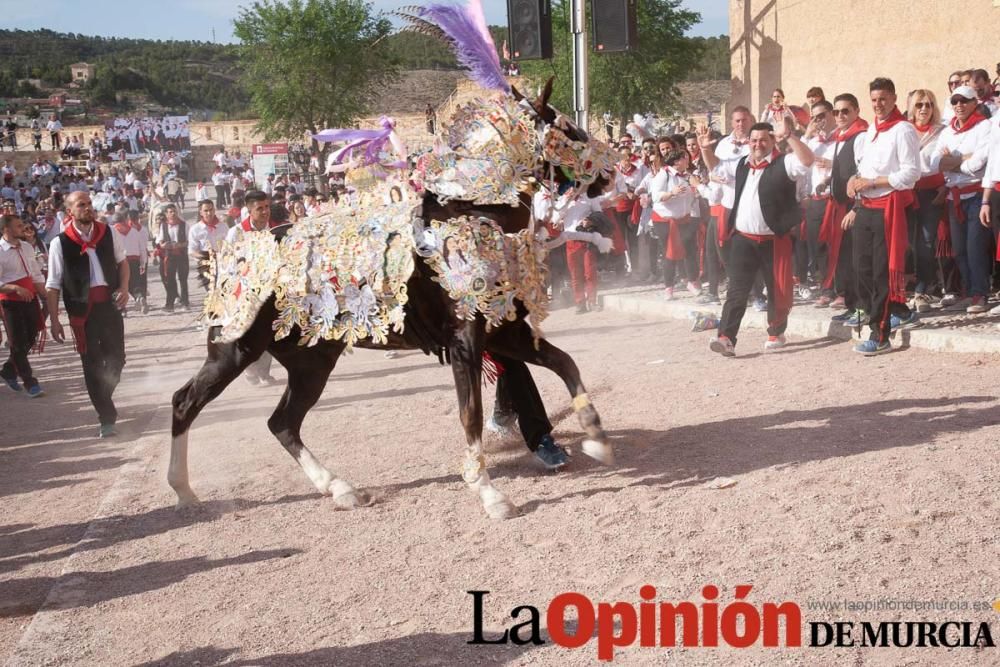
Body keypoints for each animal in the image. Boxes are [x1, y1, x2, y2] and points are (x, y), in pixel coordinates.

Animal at [168, 0, 616, 520]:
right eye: (568, 129)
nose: (611, 172)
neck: (470, 212)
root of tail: (235, 254)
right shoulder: (466, 343)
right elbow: (470, 415)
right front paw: (489, 494)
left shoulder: (506, 332)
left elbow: (565, 364)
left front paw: (596, 434)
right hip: (234, 349)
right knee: (186, 402)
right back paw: (183, 489)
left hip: (310, 361)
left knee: (282, 422)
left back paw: (339, 488)